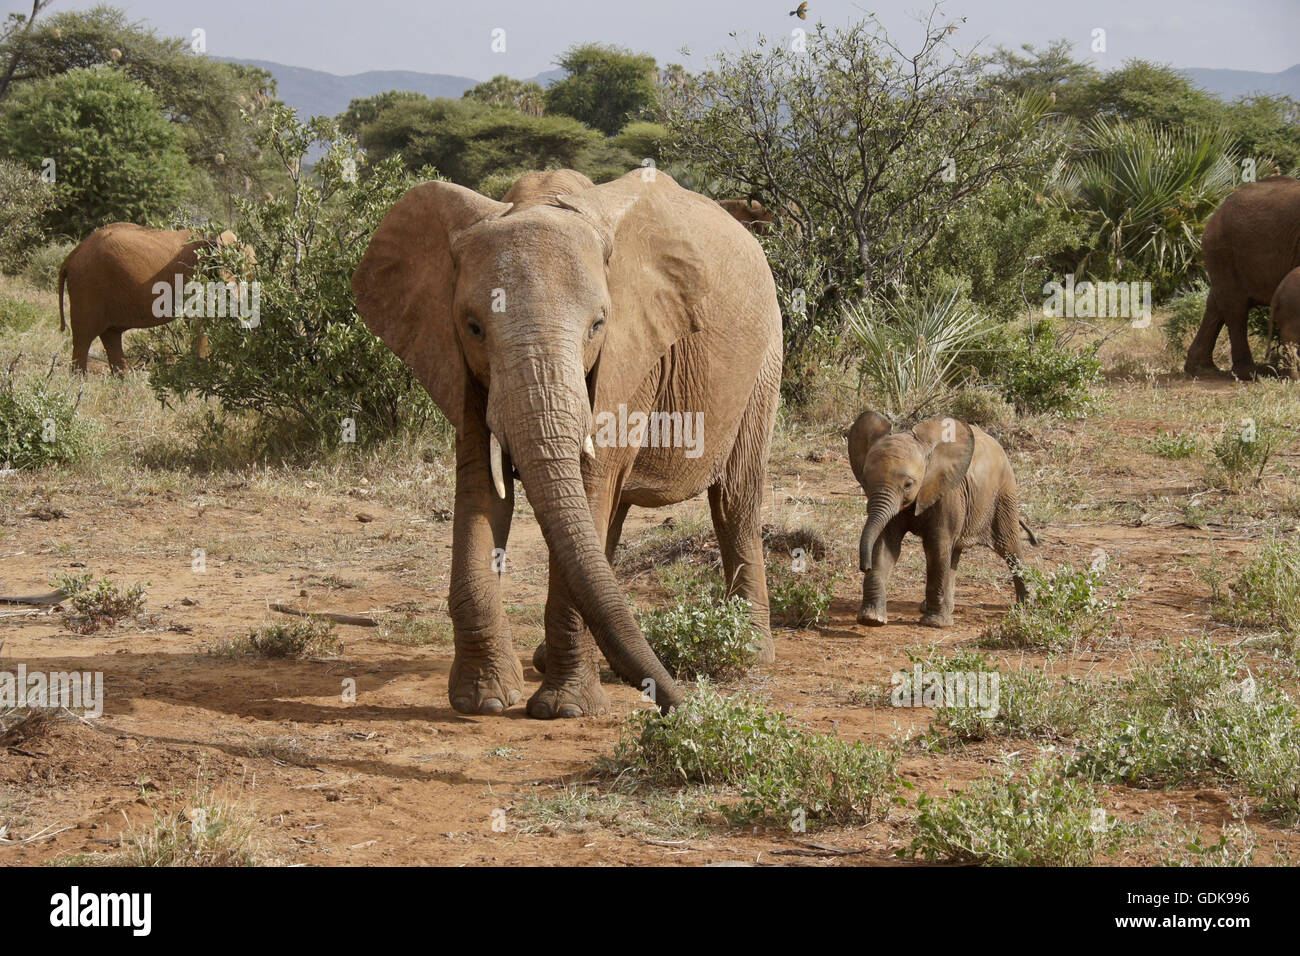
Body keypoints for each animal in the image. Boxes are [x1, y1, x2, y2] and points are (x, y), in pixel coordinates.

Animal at [58, 223, 246, 374]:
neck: (214, 240)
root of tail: (70, 257)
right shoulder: (196, 276)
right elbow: (198, 323)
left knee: (111, 336)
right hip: (87, 288)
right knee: (84, 338)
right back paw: (78, 380)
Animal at [351, 166, 780, 717]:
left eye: (598, 324)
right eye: (473, 327)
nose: (679, 705)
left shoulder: (630, 353)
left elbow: (591, 477)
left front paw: (564, 710)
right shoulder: (457, 361)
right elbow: (481, 486)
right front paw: (484, 701)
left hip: (766, 355)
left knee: (733, 499)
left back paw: (750, 650)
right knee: (610, 516)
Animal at [847, 408, 1040, 629]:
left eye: (908, 485)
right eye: (865, 481)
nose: (864, 566)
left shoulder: (947, 492)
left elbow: (936, 546)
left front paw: (934, 624)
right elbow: (885, 545)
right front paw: (872, 619)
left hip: (1003, 493)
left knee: (1008, 547)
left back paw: (1026, 605)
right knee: (954, 552)